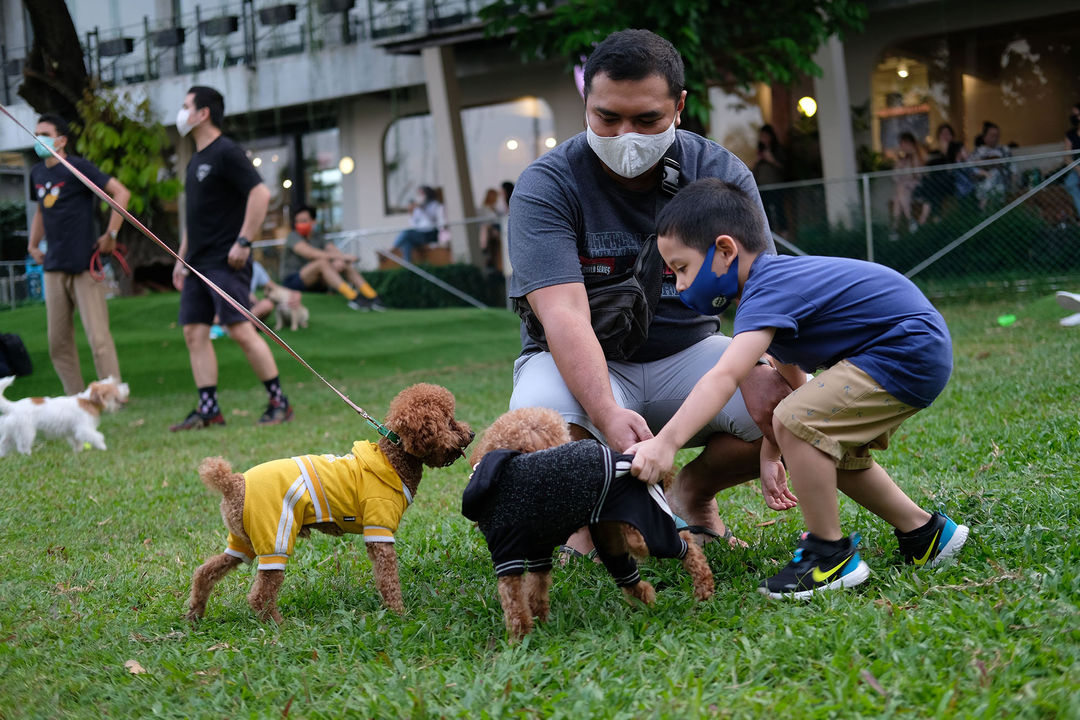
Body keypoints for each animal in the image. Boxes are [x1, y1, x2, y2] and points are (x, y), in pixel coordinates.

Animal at [0, 377, 130, 455]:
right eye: (114, 386)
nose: (126, 385)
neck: (88, 401)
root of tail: (13, 406)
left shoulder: (74, 432)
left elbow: (78, 442)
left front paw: (78, 452)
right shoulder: (84, 429)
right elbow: (97, 437)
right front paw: (103, 447)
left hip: (11, 432)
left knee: (4, 444)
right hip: (26, 432)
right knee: (22, 447)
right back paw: (28, 455)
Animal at [186, 382, 473, 626]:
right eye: (449, 422)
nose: (471, 433)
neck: (394, 460)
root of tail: (233, 482)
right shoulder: (379, 530)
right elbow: (388, 578)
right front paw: (398, 613)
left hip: (244, 539)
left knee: (205, 570)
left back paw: (195, 613)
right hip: (274, 534)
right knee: (261, 593)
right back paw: (279, 625)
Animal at [462, 408, 708, 639]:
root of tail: (629, 461)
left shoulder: (506, 552)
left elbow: (514, 604)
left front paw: (519, 639)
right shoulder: (537, 552)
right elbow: (536, 589)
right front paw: (539, 622)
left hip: (648, 525)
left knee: (686, 543)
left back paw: (704, 589)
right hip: (612, 539)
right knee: (634, 574)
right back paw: (648, 606)